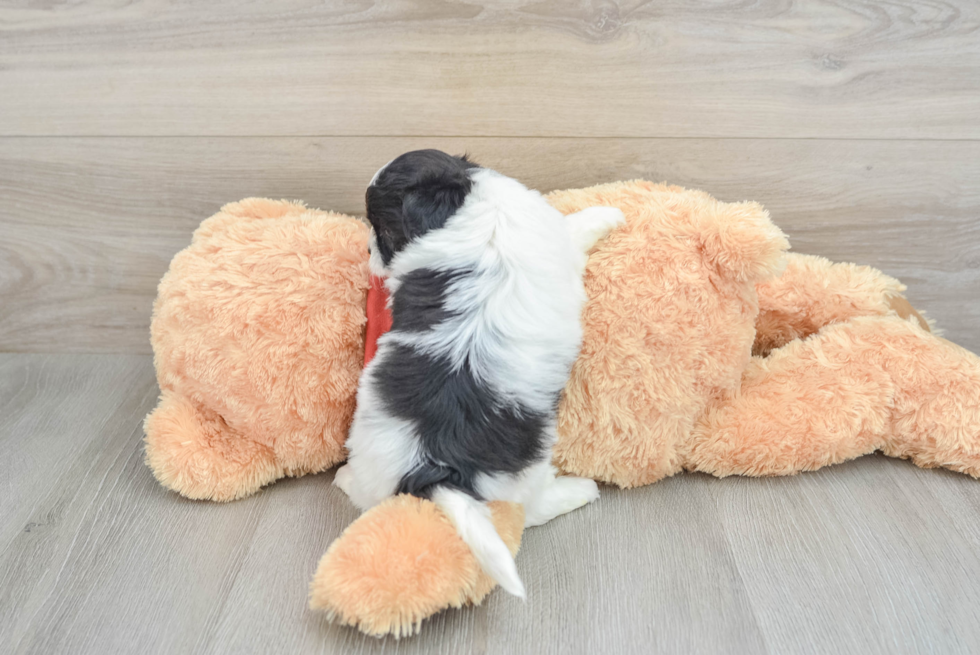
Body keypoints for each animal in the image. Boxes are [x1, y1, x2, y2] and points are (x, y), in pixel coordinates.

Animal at [336, 150, 624, 600]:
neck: (463, 204)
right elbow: (573, 227)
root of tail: (433, 466)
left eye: (381, 229)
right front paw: (609, 213)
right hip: (523, 473)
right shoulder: (553, 237)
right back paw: (580, 491)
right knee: (532, 508)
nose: (368, 252)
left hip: (374, 460)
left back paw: (344, 477)